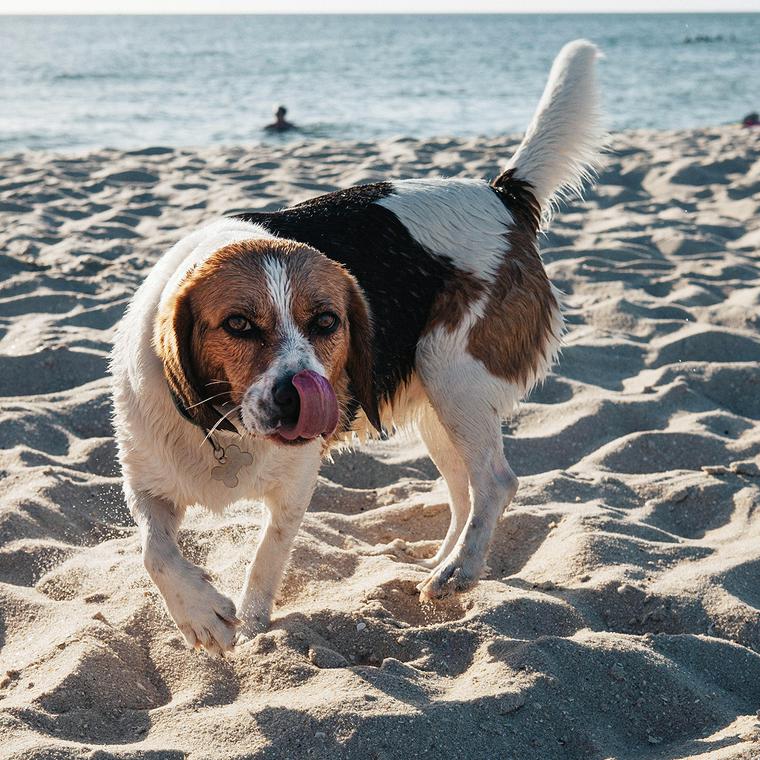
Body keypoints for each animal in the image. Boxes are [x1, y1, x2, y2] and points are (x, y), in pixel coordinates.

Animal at [111, 38, 600, 652]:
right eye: (239, 325)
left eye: (326, 322)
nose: (299, 397)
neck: (226, 427)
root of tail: (499, 195)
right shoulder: (146, 480)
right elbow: (154, 552)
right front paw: (199, 613)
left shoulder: (293, 488)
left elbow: (264, 561)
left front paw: (251, 628)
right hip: (441, 408)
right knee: (465, 491)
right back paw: (441, 565)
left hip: (454, 378)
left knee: (495, 483)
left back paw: (459, 570)